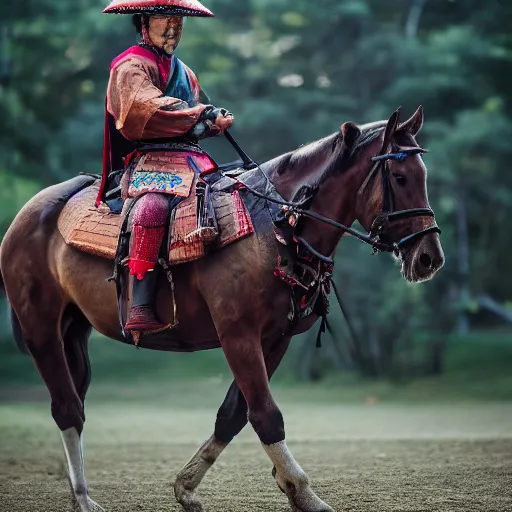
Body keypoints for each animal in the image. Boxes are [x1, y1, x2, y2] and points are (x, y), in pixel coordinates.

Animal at [0, 106, 444, 510]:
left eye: (423, 176)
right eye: (400, 178)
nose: (429, 257)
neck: (276, 228)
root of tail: (27, 215)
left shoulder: (274, 339)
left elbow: (234, 414)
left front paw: (187, 486)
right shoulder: (238, 335)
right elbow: (266, 416)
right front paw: (303, 492)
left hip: (73, 329)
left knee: (76, 401)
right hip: (41, 329)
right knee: (67, 409)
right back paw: (82, 497)